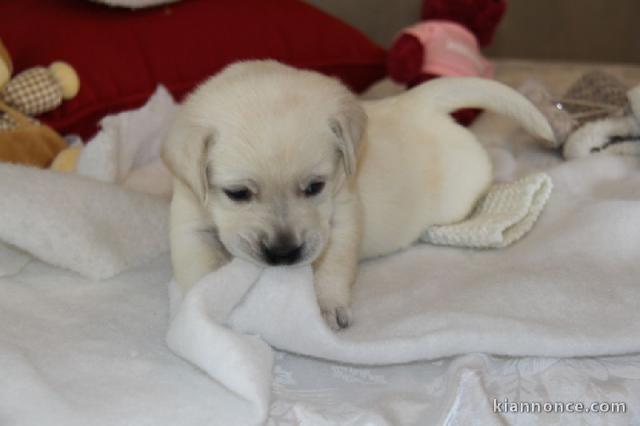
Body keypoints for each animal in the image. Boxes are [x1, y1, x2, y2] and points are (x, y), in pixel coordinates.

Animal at [161, 60, 556, 330]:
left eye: (315, 187)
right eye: (237, 193)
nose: (284, 254)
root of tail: (416, 102)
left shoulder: (343, 214)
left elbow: (332, 265)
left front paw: (326, 305)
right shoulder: (188, 217)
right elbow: (198, 266)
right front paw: (204, 303)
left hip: (458, 193)